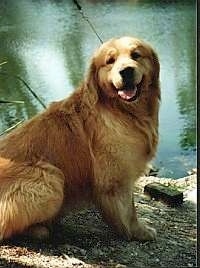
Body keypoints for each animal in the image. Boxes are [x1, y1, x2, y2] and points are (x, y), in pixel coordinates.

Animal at [0, 36, 159, 242]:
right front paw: (138, 231)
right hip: (51, 180)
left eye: (136, 55)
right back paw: (40, 229)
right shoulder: (116, 178)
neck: (122, 111)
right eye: (110, 61)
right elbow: (128, 211)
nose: (126, 71)